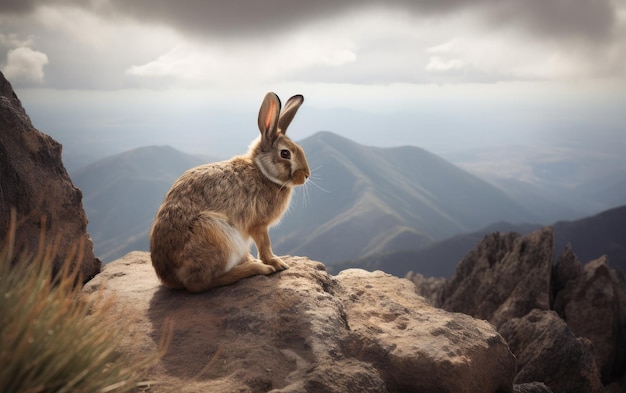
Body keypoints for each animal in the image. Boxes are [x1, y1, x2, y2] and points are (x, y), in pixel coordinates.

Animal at [149, 92, 310, 290]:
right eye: (285, 154)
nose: (306, 175)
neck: (262, 172)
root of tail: (169, 277)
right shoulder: (258, 225)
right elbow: (265, 246)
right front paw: (276, 263)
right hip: (217, 233)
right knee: (200, 283)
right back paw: (258, 268)